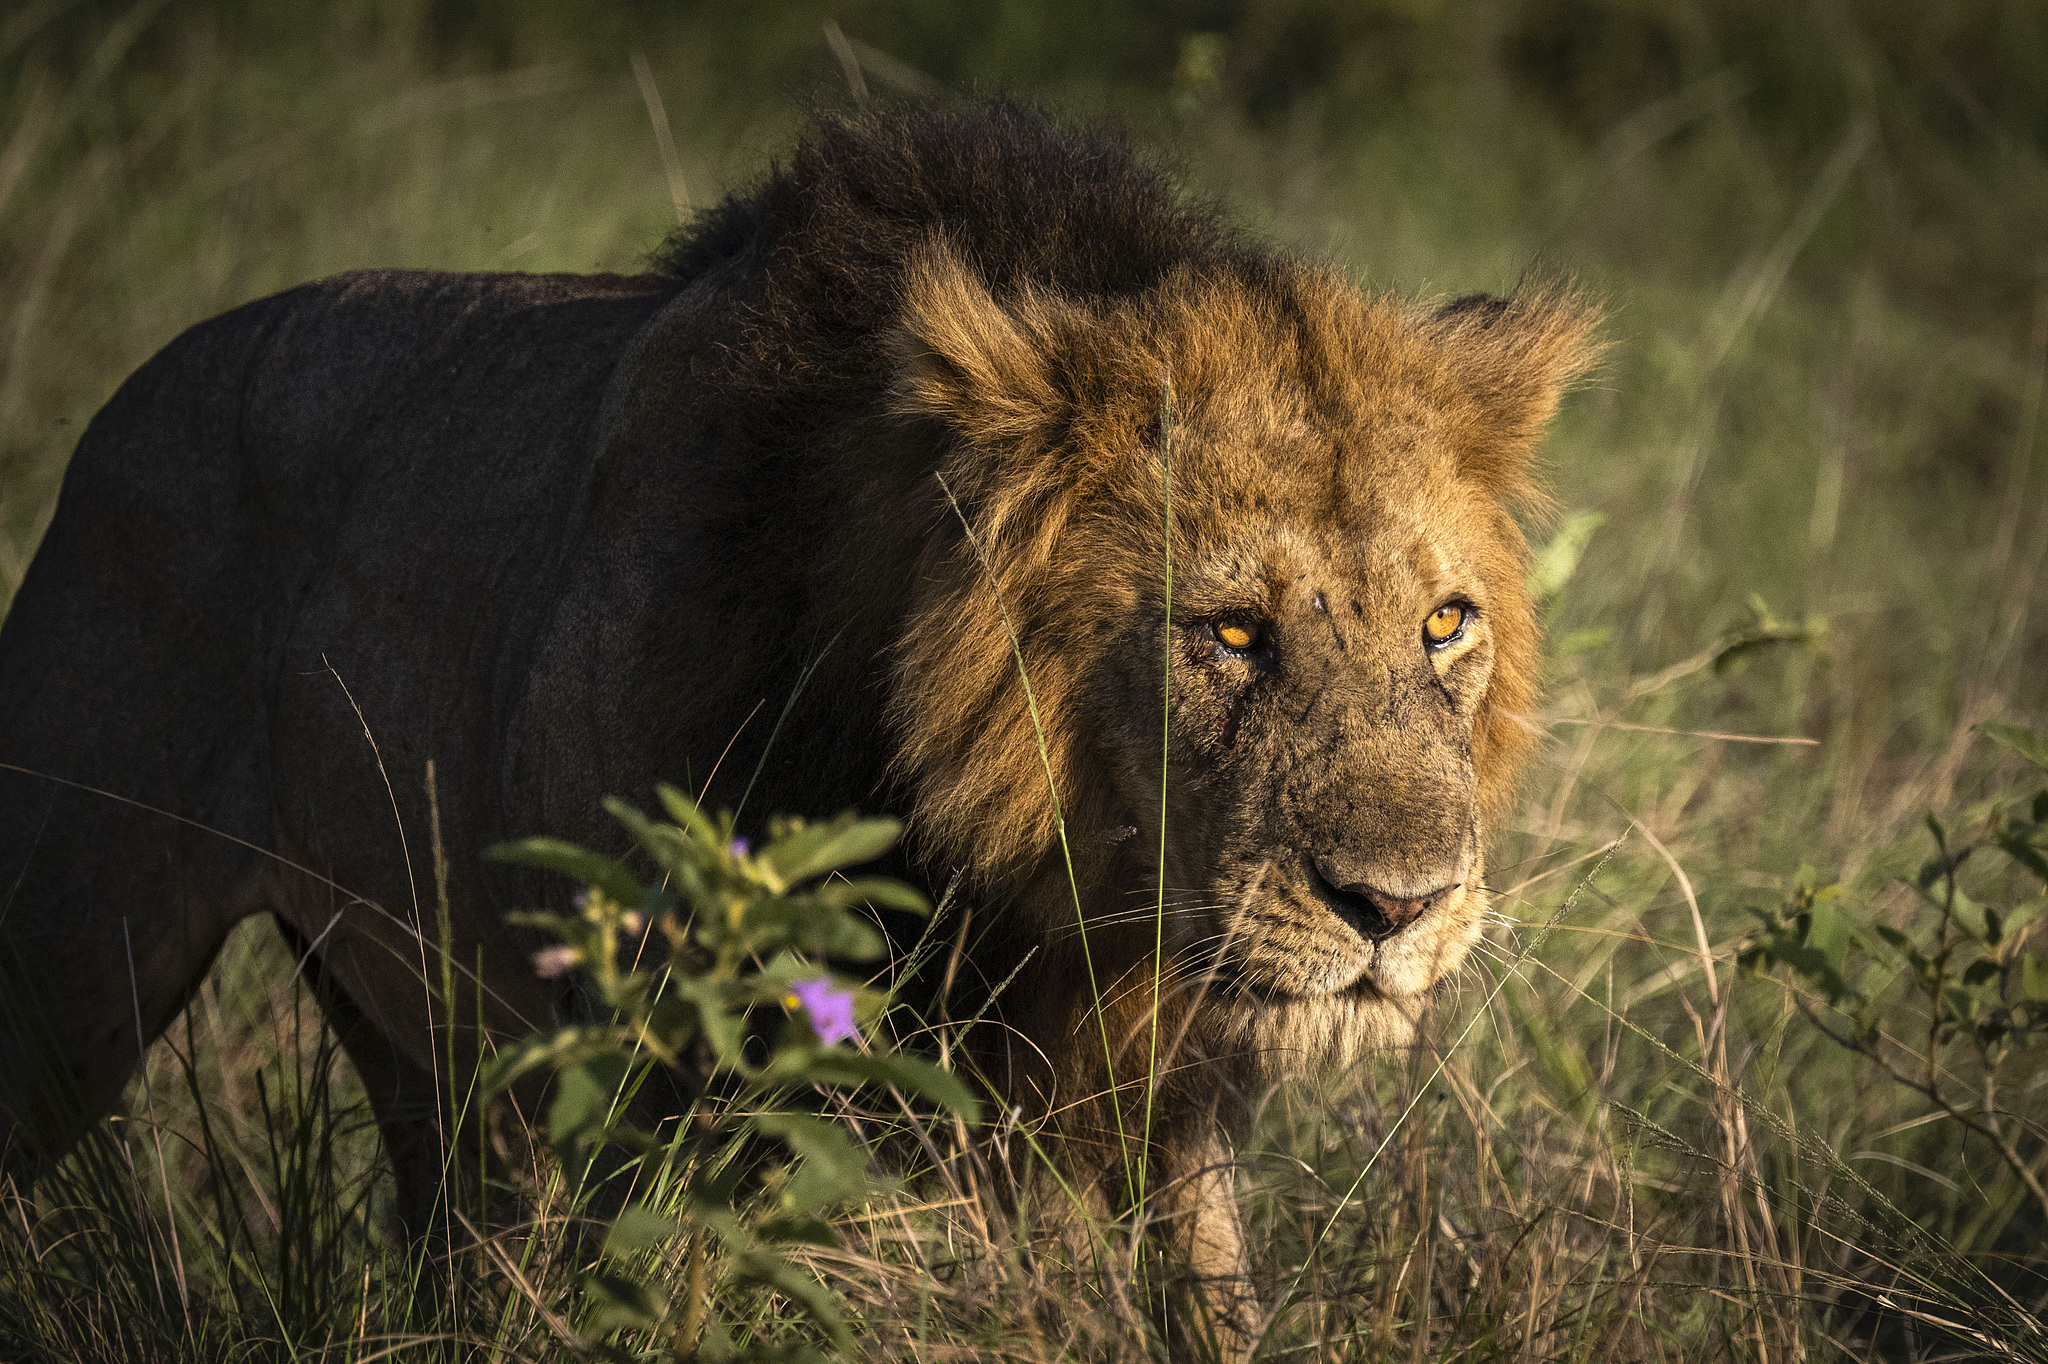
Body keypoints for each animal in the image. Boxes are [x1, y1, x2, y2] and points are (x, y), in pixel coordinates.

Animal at [0, 101, 1595, 1338]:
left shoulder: (1161, 1104)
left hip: (423, 1052)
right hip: (69, 970)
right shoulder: (660, 1087)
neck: (1028, 906)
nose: (1400, 906)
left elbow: (1210, 1300)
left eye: (1444, 624)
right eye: (1231, 632)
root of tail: (125, 400)